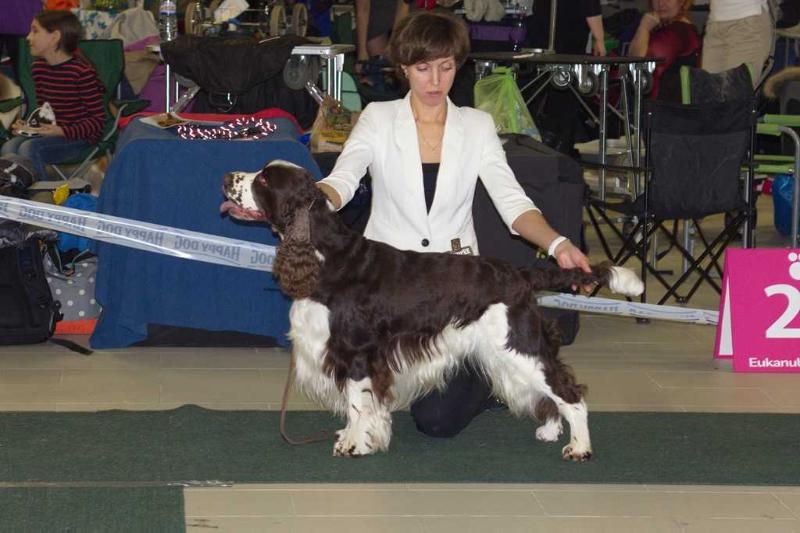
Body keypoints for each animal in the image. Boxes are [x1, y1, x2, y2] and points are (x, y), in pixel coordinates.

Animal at [222, 160, 648, 460]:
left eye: (264, 181)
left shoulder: (356, 351)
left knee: (569, 391)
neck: (325, 254)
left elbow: (358, 402)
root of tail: (520, 273)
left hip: (518, 345)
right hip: (507, 352)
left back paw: (579, 447)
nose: (227, 178)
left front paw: (354, 444)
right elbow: (359, 405)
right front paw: (357, 436)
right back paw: (549, 431)